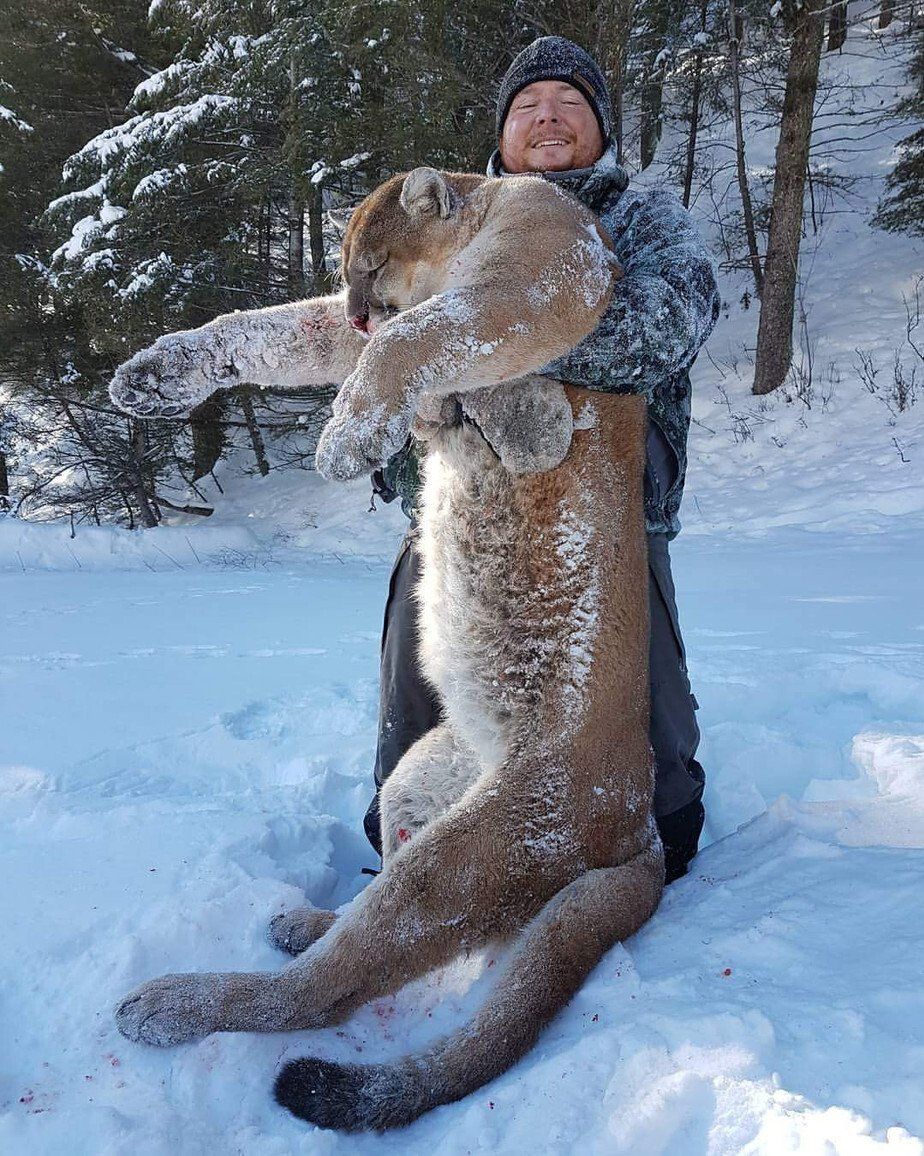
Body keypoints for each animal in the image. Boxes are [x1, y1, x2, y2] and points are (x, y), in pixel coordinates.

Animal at [110, 166, 664, 1131]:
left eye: (371, 264)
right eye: (345, 273)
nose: (360, 308)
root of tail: (644, 829)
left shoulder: (532, 285)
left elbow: (422, 337)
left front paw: (352, 433)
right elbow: (265, 330)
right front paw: (158, 373)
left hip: (481, 849)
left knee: (322, 991)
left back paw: (173, 1004)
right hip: (418, 780)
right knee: (368, 900)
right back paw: (306, 924)